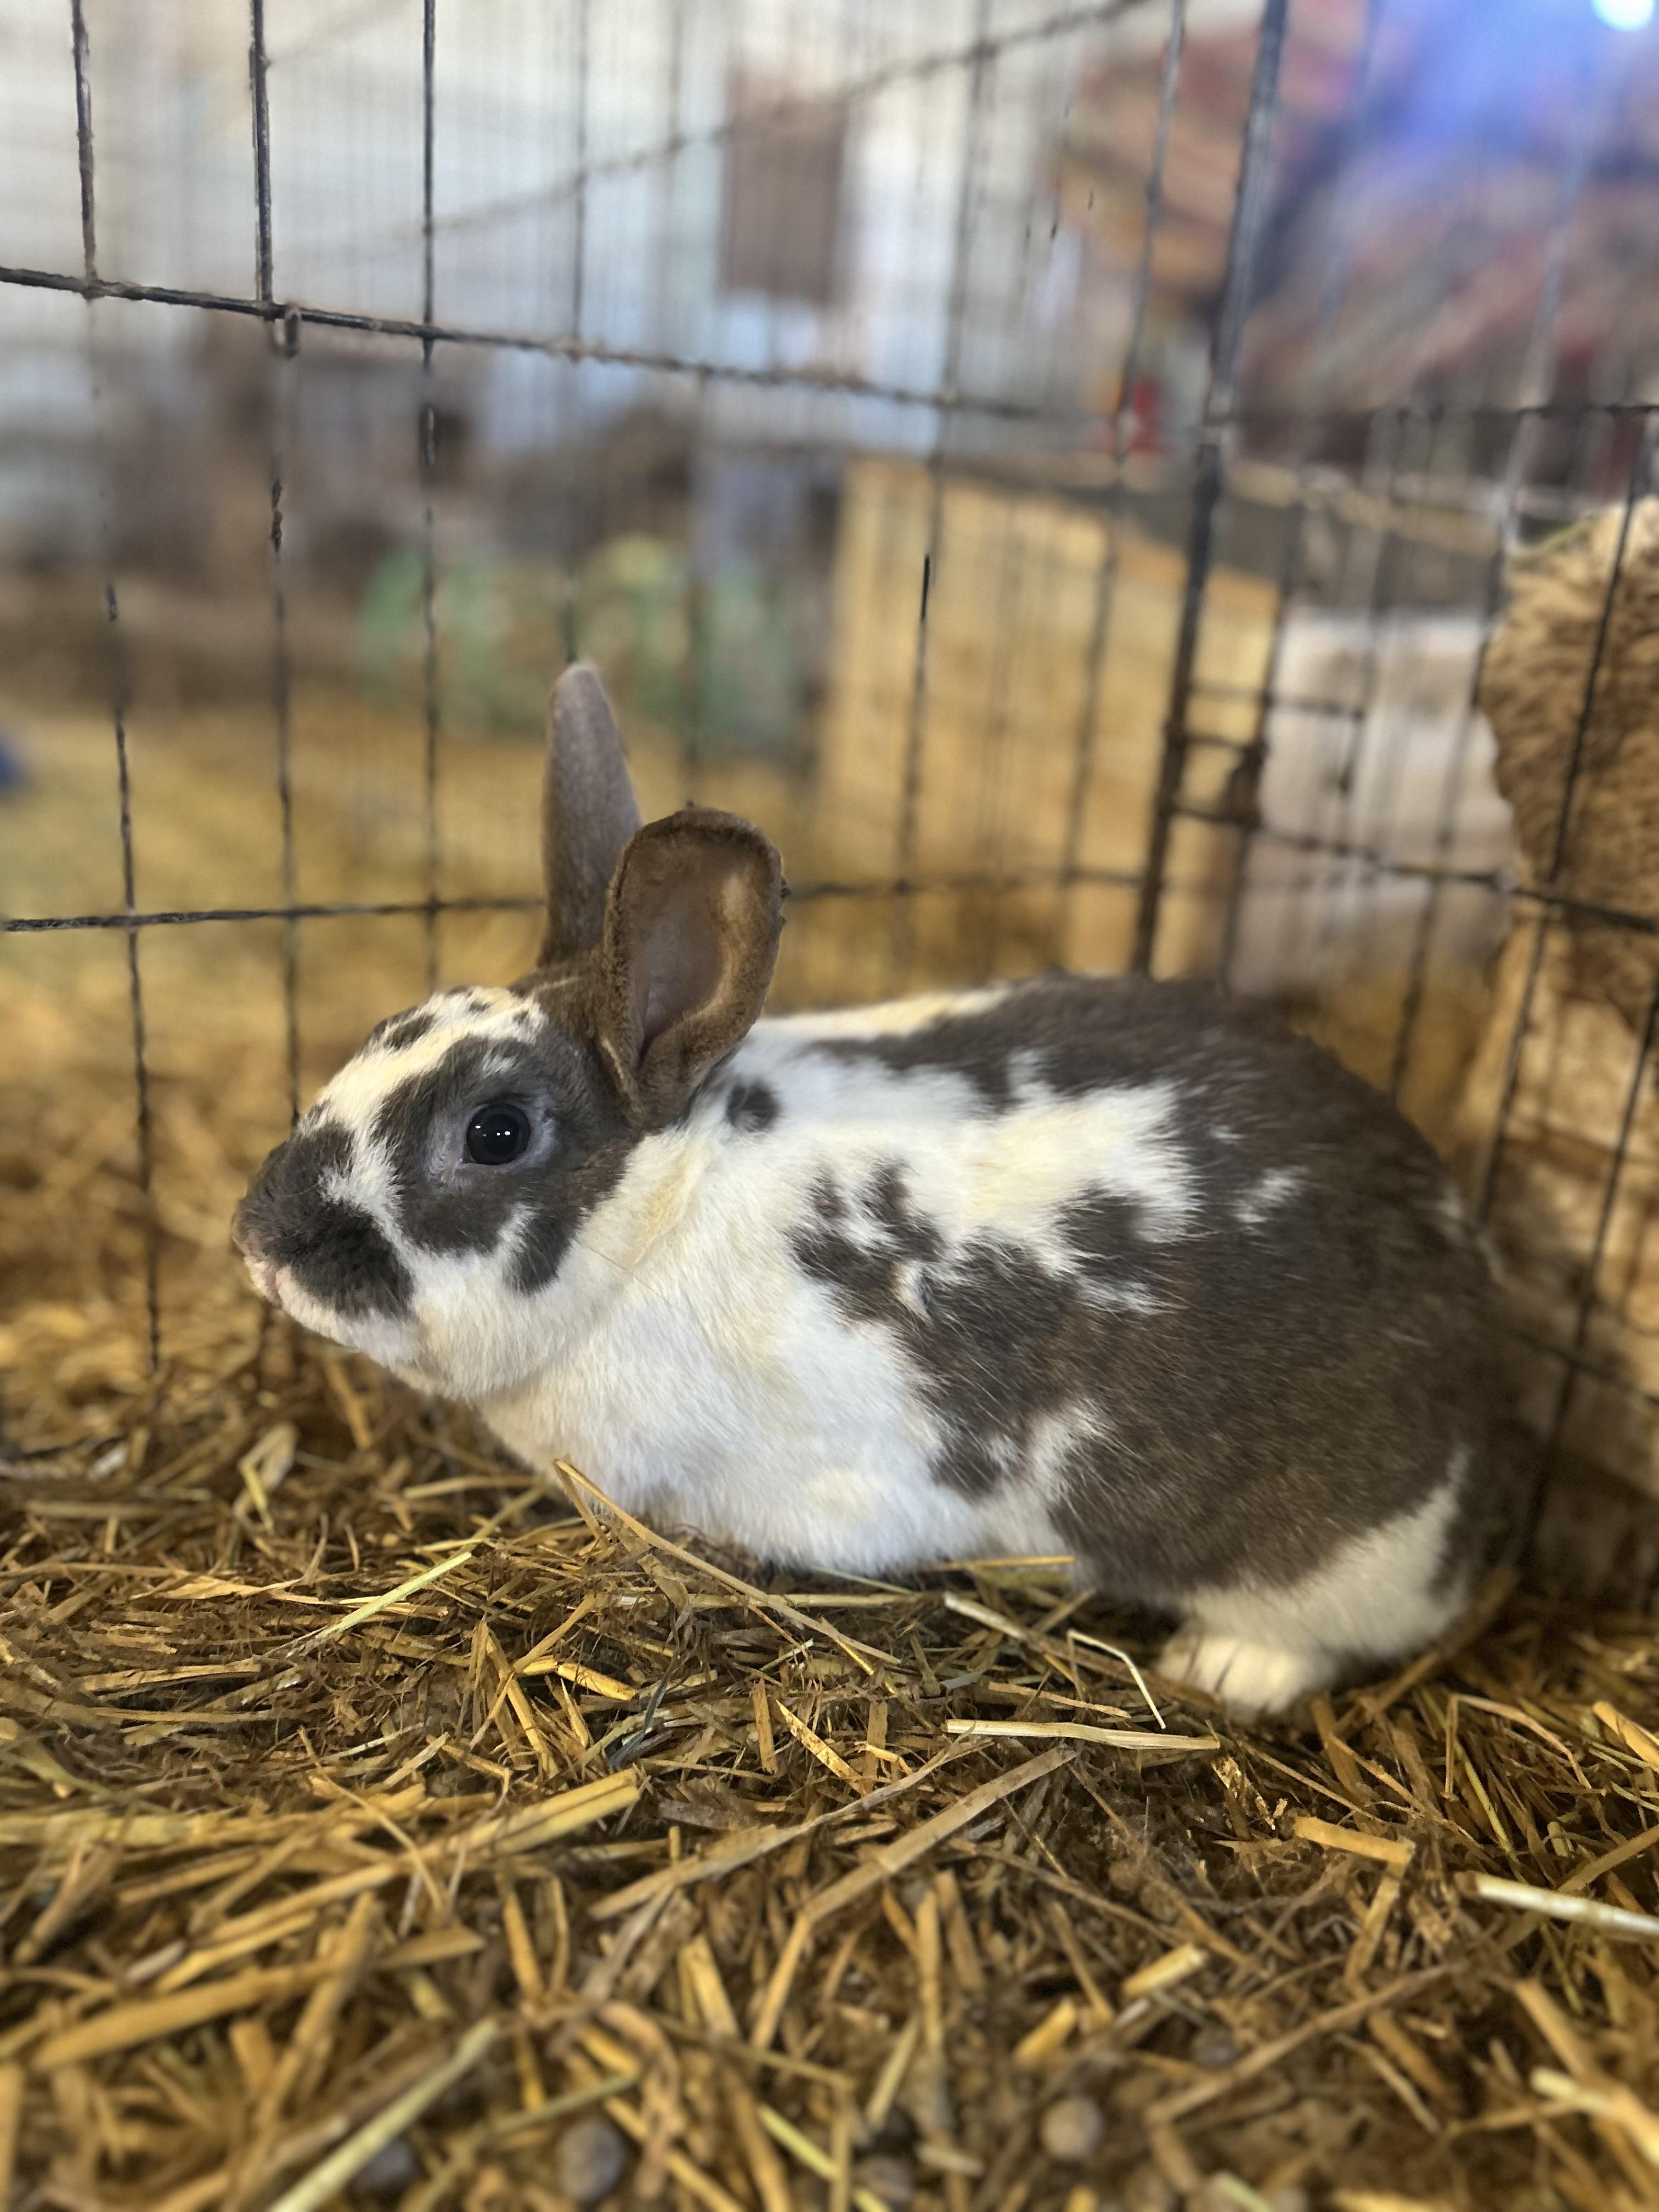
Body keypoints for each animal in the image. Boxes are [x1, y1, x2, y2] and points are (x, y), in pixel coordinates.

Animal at [235, 664, 1521, 1715]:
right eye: (383, 1030)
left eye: (495, 1132)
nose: (260, 1242)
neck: (656, 1220)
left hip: (1326, 1554)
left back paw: (1223, 1667)